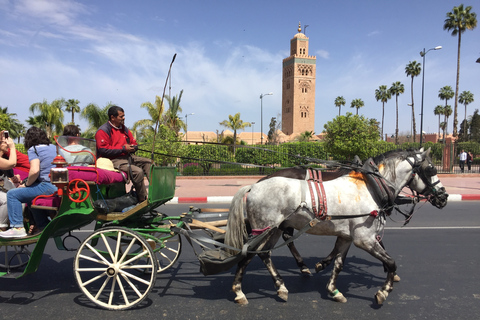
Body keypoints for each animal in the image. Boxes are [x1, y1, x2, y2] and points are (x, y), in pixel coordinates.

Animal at [223, 149, 448, 304]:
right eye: (431, 168)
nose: (444, 196)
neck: (372, 187)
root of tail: (254, 185)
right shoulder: (364, 239)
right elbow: (391, 261)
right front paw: (383, 291)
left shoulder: (347, 237)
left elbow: (339, 263)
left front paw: (333, 289)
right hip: (265, 229)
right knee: (249, 254)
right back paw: (239, 291)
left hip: (274, 230)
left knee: (264, 254)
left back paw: (281, 286)